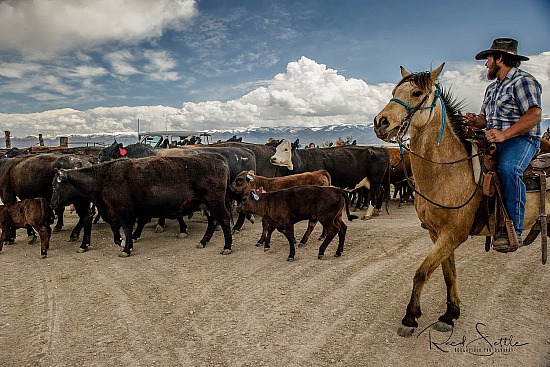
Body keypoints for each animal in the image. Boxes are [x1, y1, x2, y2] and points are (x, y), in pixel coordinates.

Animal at [50, 154, 234, 258]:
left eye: (54, 186)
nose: (52, 205)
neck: (105, 177)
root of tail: (218, 159)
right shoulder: (114, 211)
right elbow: (118, 229)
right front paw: (123, 242)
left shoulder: (124, 211)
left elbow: (126, 228)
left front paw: (126, 249)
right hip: (207, 205)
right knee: (213, 222)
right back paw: (203, 242)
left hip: (215, 203)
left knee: (224, 220)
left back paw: (227, 247)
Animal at [374, 64, 548, 340]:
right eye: (393, 92)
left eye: (416, 92)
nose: (380, 122)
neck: (446, 171)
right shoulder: (437, 234)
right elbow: (448, 273)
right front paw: (450, 314)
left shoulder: (454, 234)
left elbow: (422, 272)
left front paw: (410, 317)